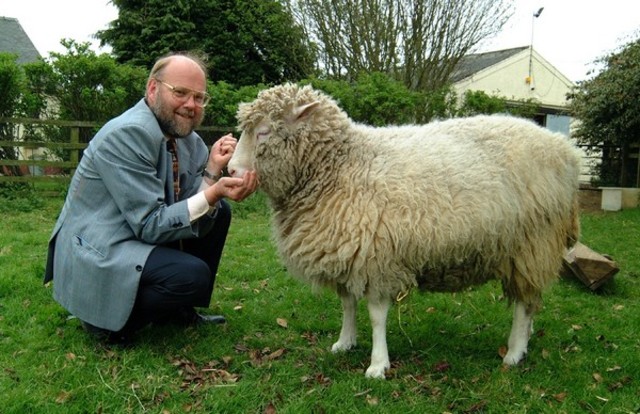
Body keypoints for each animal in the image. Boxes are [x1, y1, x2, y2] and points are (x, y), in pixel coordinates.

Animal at [228, 83, 581, 379]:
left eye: (263, 132)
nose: (231, 170)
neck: (340, 165)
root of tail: (565, 149)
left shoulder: (375, 256)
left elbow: (376, 316)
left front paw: (377, 364)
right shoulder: (346, 251)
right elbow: (347, 304)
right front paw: (345, 342)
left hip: (532, 243)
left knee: (524, 304)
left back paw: (515, 351)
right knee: (531, 300)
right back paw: (527, 339)